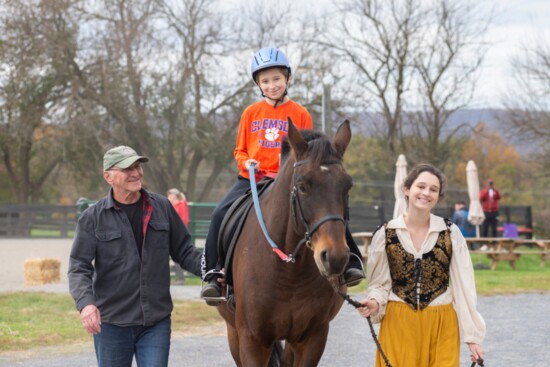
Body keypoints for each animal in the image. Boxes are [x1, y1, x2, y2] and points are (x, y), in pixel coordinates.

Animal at [218, 119, 356, 366]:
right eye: (302, 186)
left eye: (347, 186)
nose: (335, 257)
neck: (288, 270)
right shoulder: (251, 340)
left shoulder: (312, 338)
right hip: (234, 333)